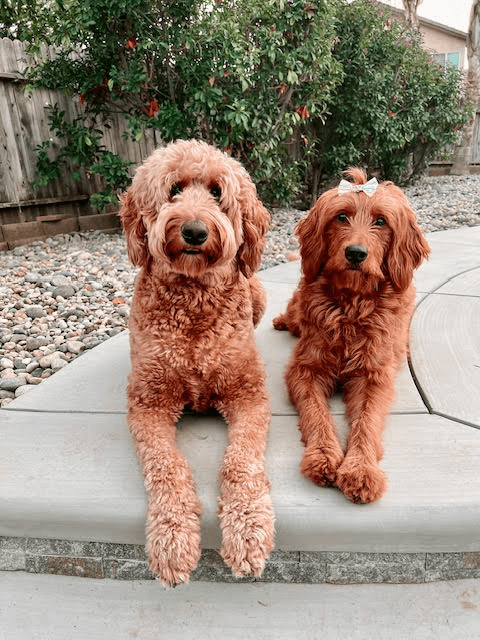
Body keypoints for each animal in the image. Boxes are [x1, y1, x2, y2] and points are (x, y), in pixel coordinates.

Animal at [121, 139, 274, 584]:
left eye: (217, 193)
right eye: (173, 189)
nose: (193, 231)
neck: (193, 300)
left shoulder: (250, 395)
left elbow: (241, 462)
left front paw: (248, 530)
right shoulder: (147, 404)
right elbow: (166, 466)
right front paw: (172, 540)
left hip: (257, 291)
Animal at [274, 169, 432, 504]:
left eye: (381, 221)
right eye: (341, 217)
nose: (356, 253)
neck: (351, 307)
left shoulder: (374, 375)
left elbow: (367, 421)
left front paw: (360, 469)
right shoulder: (305, 369)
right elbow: (316, 413)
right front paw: (323, 455)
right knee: (293, 315)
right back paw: (282, 321)